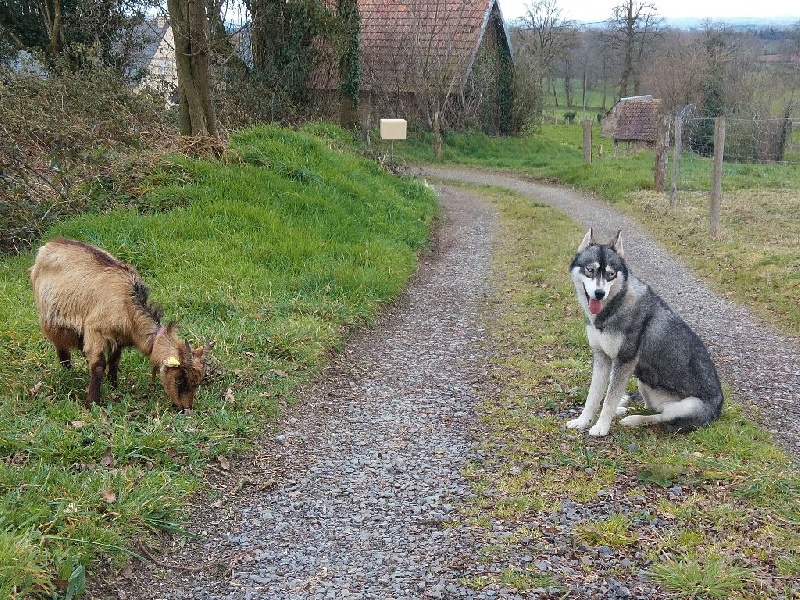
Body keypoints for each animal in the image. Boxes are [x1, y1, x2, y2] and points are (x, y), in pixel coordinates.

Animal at [30, 237, 209, 410]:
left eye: (197, 382)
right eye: (179, 379)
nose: (185, 408)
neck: (127, 305)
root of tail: (47, 246)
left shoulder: (119, 338)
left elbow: (114, 361)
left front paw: (113, 385)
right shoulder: (95, 330)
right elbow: (98, 365)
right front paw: (92, 403)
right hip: (50, 318)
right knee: (61, 346)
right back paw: (68, 371)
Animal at [564, 230, 724, 436]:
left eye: (611, 274)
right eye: (590, 270)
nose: (599, 293)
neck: (615, 305)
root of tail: (719, 409)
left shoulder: (624, 362)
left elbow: (608, 400)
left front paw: (601, 427)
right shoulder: (602, 358)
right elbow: (594, 397)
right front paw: (583, 421)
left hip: (687, 405)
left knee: (658, 417)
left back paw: (633, 420)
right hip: (642, 380)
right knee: (649, 407)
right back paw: (622, 409)